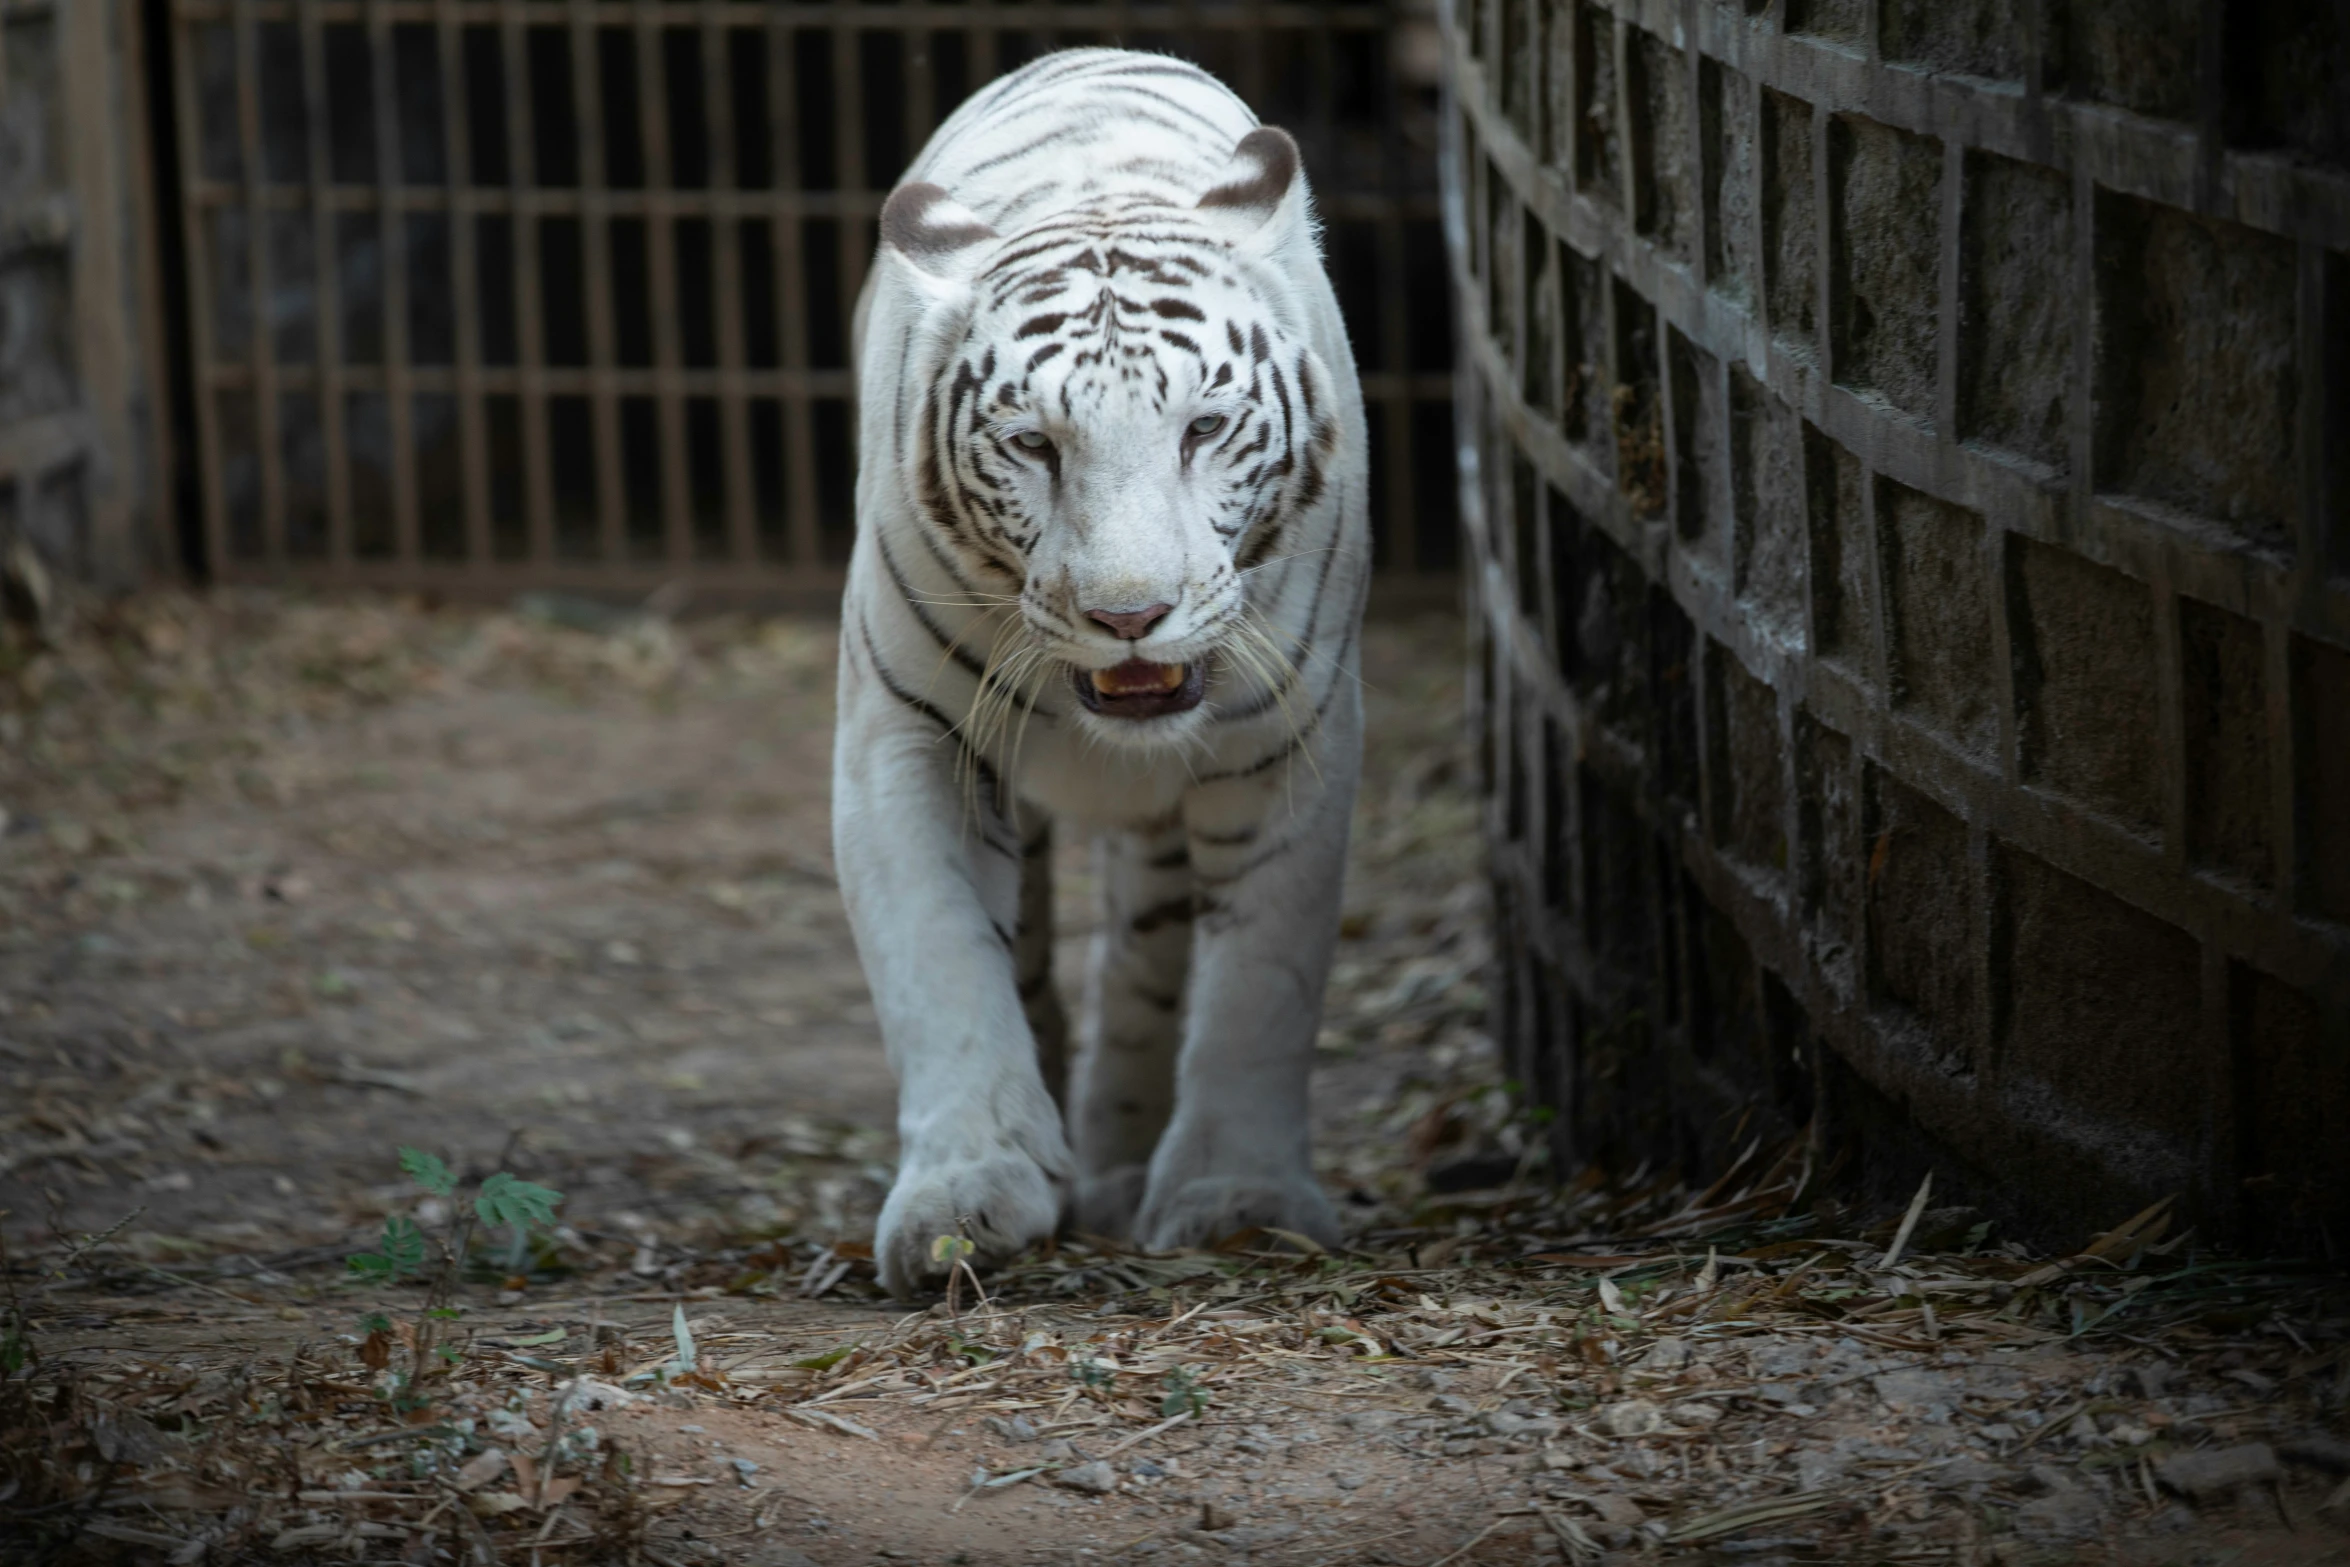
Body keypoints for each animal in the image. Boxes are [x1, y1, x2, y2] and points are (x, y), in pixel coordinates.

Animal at [836, 51, 1372, 1296]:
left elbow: (1259, 986)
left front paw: (1239, 1198)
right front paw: (964, 1194)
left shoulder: (1291, 741)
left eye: (1204, 429)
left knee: (1148, 971)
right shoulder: (905, 733)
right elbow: (939, 961)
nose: (1128, 616)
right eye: (1034, 444)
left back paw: (1126, 1161)